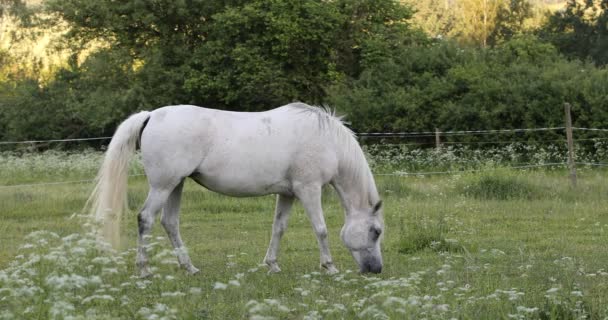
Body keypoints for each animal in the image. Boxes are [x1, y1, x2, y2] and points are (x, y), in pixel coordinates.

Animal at [88, 101, 382, 276]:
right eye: (376, 232)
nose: (376, 269)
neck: (327, 140)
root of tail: (150, 115)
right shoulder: (308, 190)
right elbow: (320, 229)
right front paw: (329, 267)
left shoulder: (287, 193)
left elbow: (279, 228)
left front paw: (272, 265)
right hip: (163, 186)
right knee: (145, 219)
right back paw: (144, 270)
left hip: (176, 185)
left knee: (169, 222)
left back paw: (190, 268)